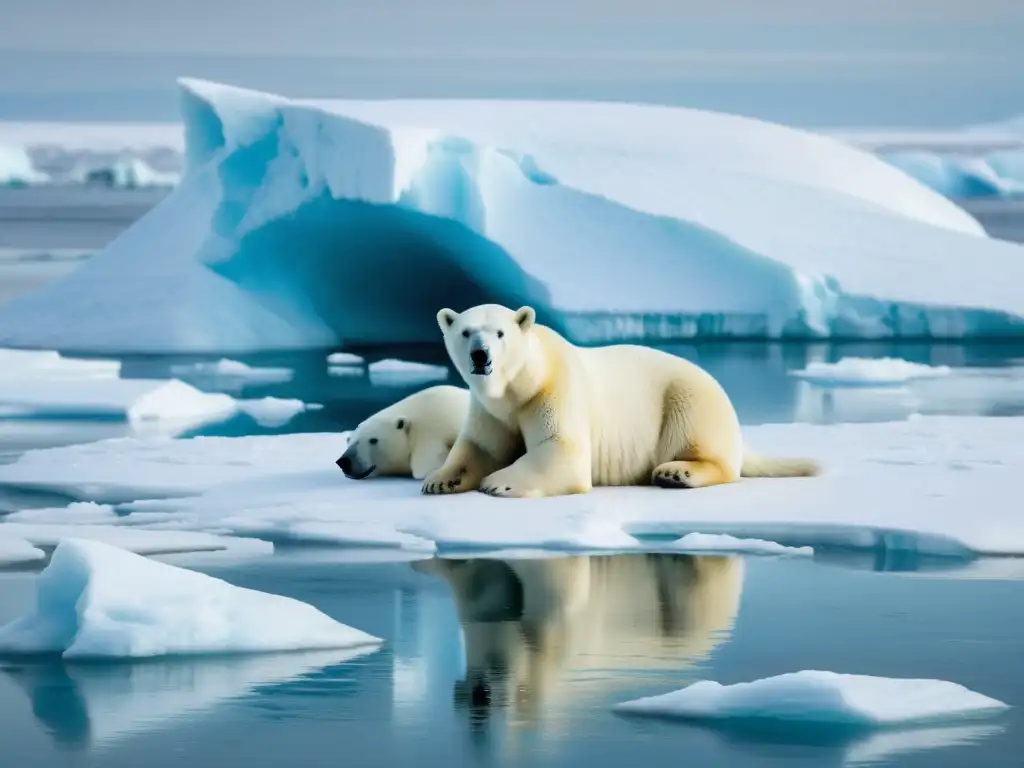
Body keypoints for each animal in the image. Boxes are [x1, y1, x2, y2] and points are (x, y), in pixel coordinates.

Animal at [419, 303, 819, 501]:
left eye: (500, 333)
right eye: (466, 332)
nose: (481, 356)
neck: (523, 382)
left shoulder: (554, 391)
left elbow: (561, 449)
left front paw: (497, 482)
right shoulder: (492, 409)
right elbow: (478, 446)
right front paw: (439, 480)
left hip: (689, 397)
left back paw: (676, 473)